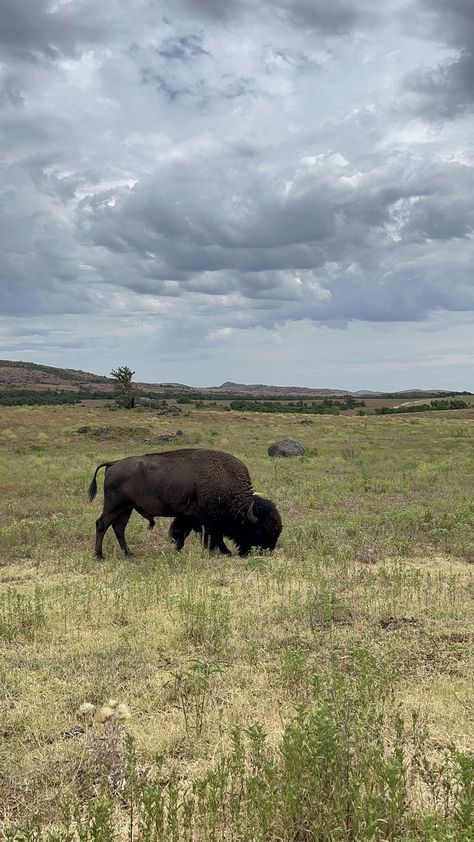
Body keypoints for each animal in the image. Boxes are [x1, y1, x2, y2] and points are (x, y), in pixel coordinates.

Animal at [87, 446, 282, 556]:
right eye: (261, 528)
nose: (267, 551)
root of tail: (113, 464)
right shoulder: (209, 521)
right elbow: (214, 536)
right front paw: (225, 552)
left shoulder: (189, 517)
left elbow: (181, 533)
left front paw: (178, 551)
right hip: (114, 506)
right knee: (101, 524)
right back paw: (99, 555)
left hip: (126, 509)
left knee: (118, 528)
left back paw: (129, 554)